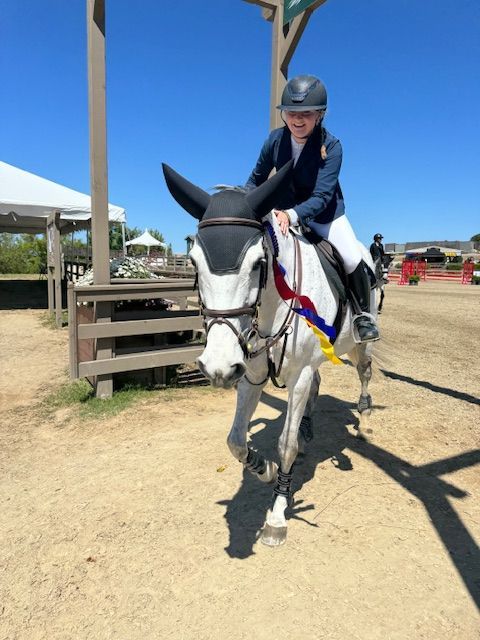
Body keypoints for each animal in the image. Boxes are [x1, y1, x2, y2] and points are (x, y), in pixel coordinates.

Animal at [163, 161, 378, 547]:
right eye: (193, 263)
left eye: (258, 262)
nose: (216, 367)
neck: (269, 310)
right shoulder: (250, 373)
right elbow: (235, 440)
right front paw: (265, 468)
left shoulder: (296, 372)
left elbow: (285, 444)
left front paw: (278, 513)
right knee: (317, 386)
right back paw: (307, 429)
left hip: (358, 343)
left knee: (364, 372)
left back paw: (365, 417)